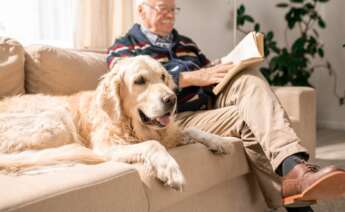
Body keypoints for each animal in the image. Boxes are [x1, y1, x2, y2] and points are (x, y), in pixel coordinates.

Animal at [0, 55, 239, 190]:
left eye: (163, 77)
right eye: (140, 81)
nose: (171, 99)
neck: (131, 124)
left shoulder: (168, 132)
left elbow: (192, 129)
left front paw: (219, 141)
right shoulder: (108, 147)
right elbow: (153, 145)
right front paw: (169, 168)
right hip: (56, 120)